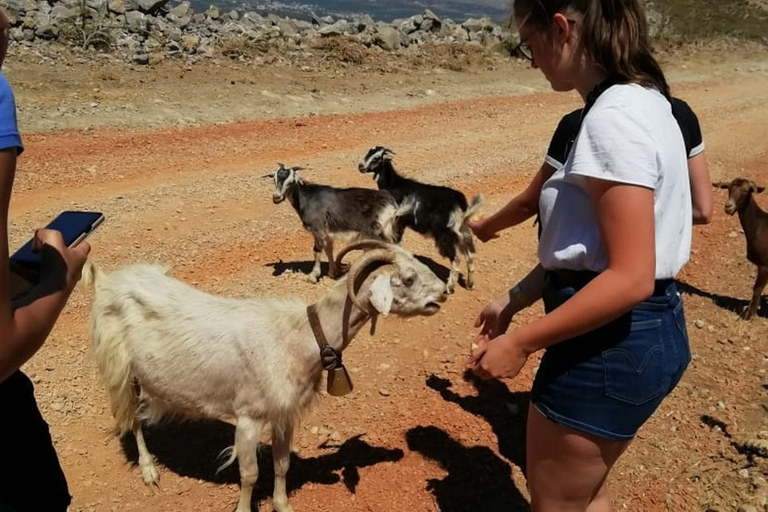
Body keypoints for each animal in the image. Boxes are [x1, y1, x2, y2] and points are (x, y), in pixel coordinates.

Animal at [81, 241, 448, 512]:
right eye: (409, 278)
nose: (444, 292)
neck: (298, 337)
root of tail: (107, 280)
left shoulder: (284, 414)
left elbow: (282, 464)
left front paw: (283, 505)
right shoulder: (248, 417)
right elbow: (249, 474)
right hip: (120, 367)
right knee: (132, 419)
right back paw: (149, 470)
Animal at [266, 163, 412, 282]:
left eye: (291, 181)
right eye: (274, 179)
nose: (276, 197)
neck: (307, 198)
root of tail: (390, 204)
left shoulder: (318, 229)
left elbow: (316, 250)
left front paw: (312, 276)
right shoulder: (328, 233)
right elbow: (328, 250)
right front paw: (332, 273)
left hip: (376, 232)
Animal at [358, 146, 484, 294]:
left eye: (377, 158)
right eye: (368, 152)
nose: (360, 166)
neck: (393, 185)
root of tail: (459, 202)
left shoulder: (397, 220)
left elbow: (396, 241)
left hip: (445, 234)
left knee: (456, 259)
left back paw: (449, 287)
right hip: (463, 230)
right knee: (470, 255)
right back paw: (470, 284)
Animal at [712, 178, 768, 318]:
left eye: (746, 190)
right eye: (728, 188)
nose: (728, 206)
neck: (759, 226)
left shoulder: (765, 265)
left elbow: (757, 288)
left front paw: (748, 315)